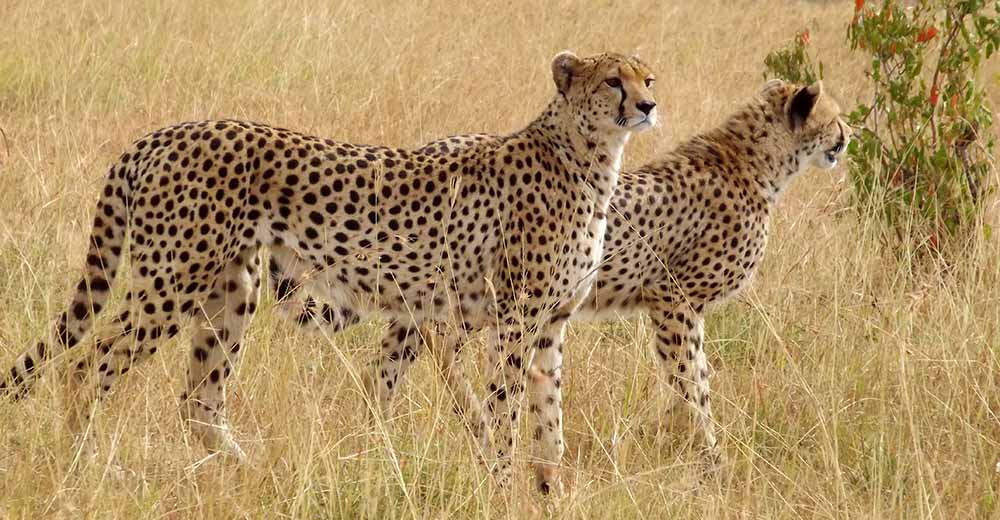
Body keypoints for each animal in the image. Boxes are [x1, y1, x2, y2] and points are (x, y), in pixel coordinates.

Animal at [1, 50, 656, 490]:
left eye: (647, 77)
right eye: (612, 81)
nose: (650, 105)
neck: (590, 156)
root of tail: (162, 134)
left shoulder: (549, 324)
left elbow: (550, 416)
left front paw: (546, 488)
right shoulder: (514, 320)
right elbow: (506, 407)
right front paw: (501, 481)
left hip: (234, 289)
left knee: (198, 399)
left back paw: (250, 474)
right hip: (172, 281)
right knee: (88, 365)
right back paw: (82, 462)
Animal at [270, 78, 848, 484]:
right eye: (835, 117)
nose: (849, 136)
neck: (757, 162)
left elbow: (687, 383)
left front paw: (663, 440)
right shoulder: (674, 301)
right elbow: (693, 383)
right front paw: (709, 458)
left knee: (391, 361)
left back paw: (377, 433)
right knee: (439, 349)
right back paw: (467, 433)